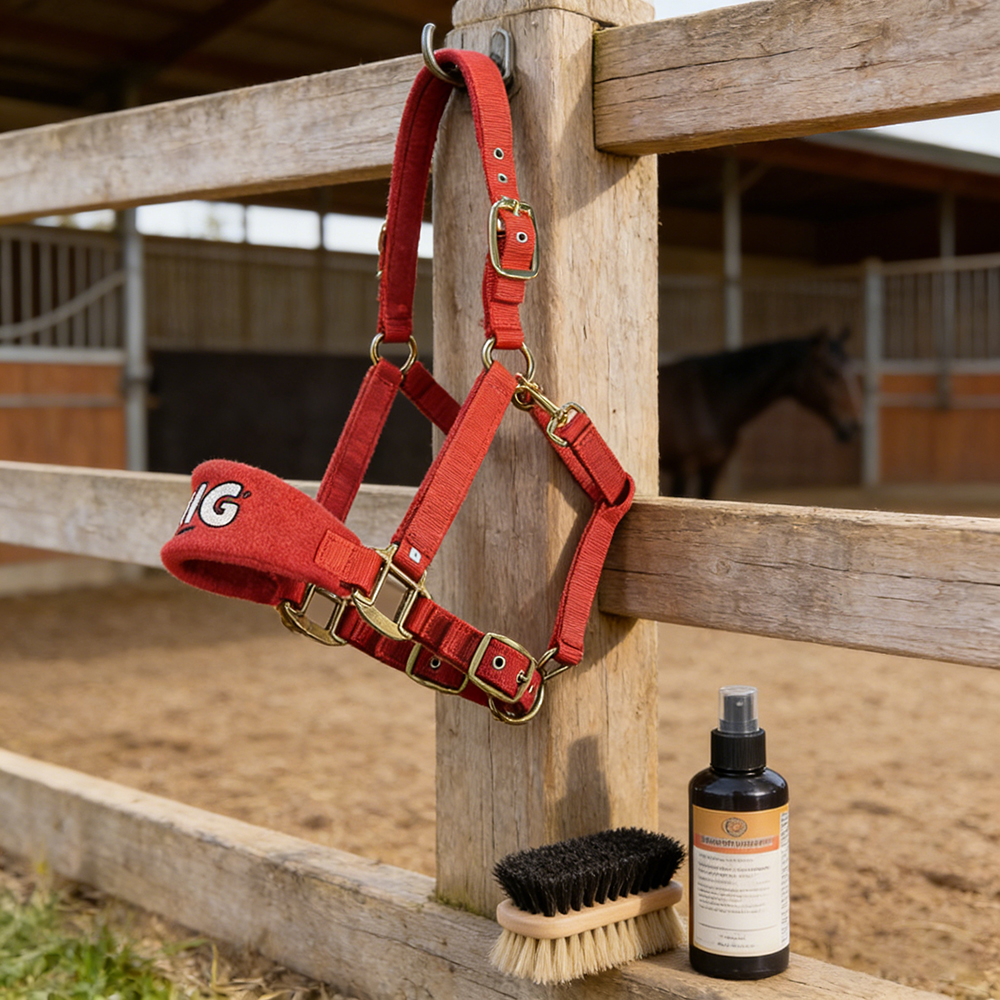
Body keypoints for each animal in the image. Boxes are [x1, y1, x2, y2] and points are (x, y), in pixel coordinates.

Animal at [658, 327, 861, 499]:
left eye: (853, 371)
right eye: (829, 372)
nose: (853, 425)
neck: (708, 400)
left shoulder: (713, 467)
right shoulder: (683, 467)